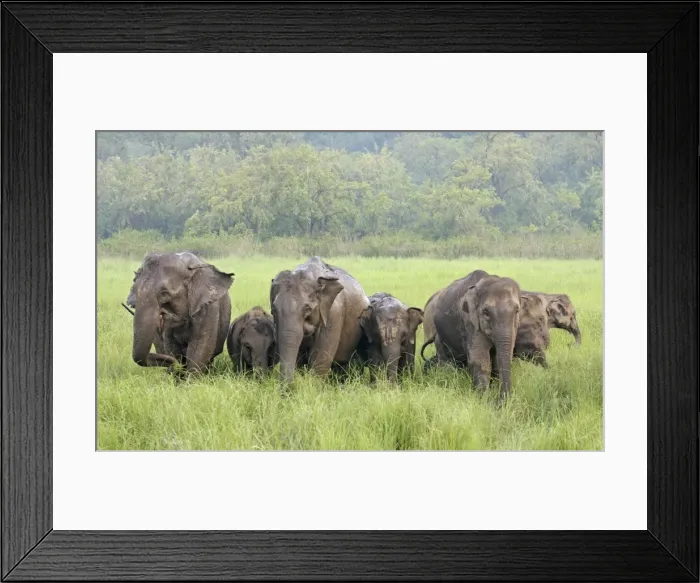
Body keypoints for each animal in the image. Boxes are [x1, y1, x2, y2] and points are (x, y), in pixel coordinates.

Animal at [419, 270, 521, 404]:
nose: (498, 403)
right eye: (486, 312)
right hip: (433, 328)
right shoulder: (470, 322)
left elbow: (498, 359)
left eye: (517, 311)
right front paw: (483, 401)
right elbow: (479, 361)